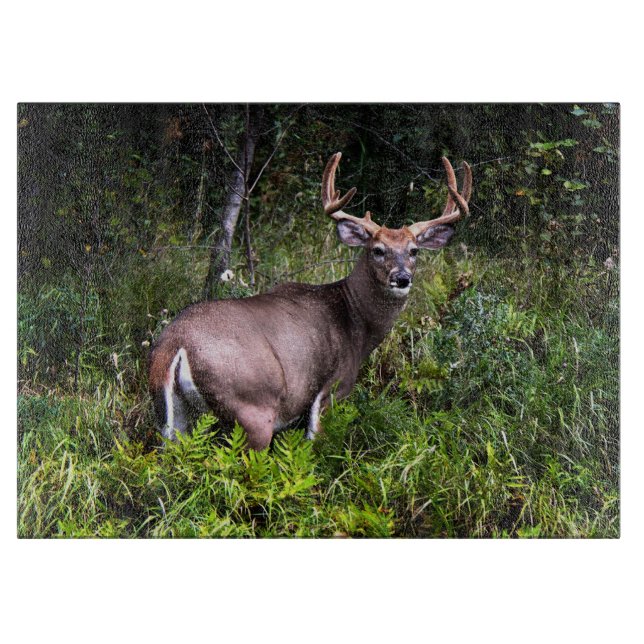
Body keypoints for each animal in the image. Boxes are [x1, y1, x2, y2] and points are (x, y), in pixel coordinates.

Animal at [149, 152, 472, 450]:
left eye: (414, 250)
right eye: (378, 250)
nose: (402, 278)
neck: (356, 321)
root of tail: (176, 344)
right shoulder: (333, 389)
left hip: (173, 415)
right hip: (253, 406)